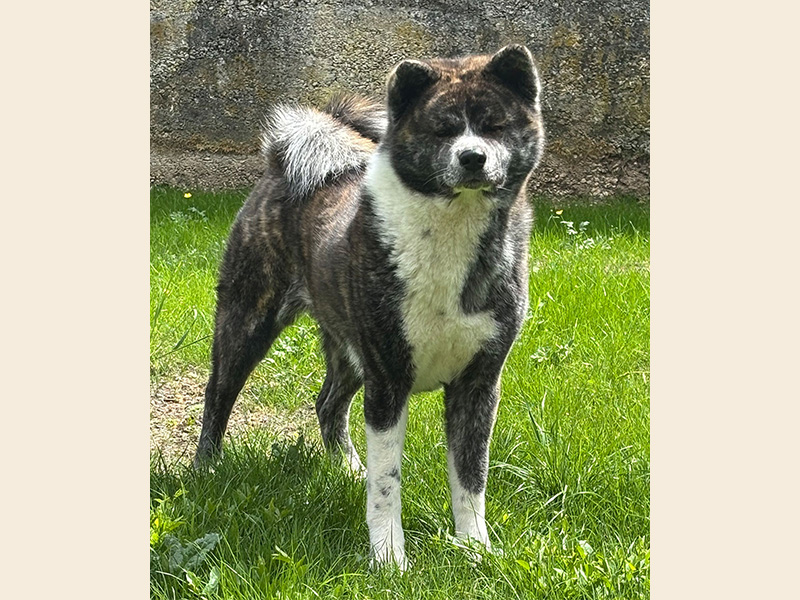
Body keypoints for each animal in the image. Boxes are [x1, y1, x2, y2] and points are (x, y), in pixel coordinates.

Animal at [194, 44, 545, 570]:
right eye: (442, 129)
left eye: (494, 125)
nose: (473, 157)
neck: (451, 230)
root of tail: (285, 165)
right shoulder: (388, 384)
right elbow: (387, 484)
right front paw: (388, 559)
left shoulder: (477, 387)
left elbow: (470, 479)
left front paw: (474, 549)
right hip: (247, 321)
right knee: (218, 395)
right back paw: (205, 469)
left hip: (349, 351)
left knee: (327, 404)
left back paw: (346, 468)